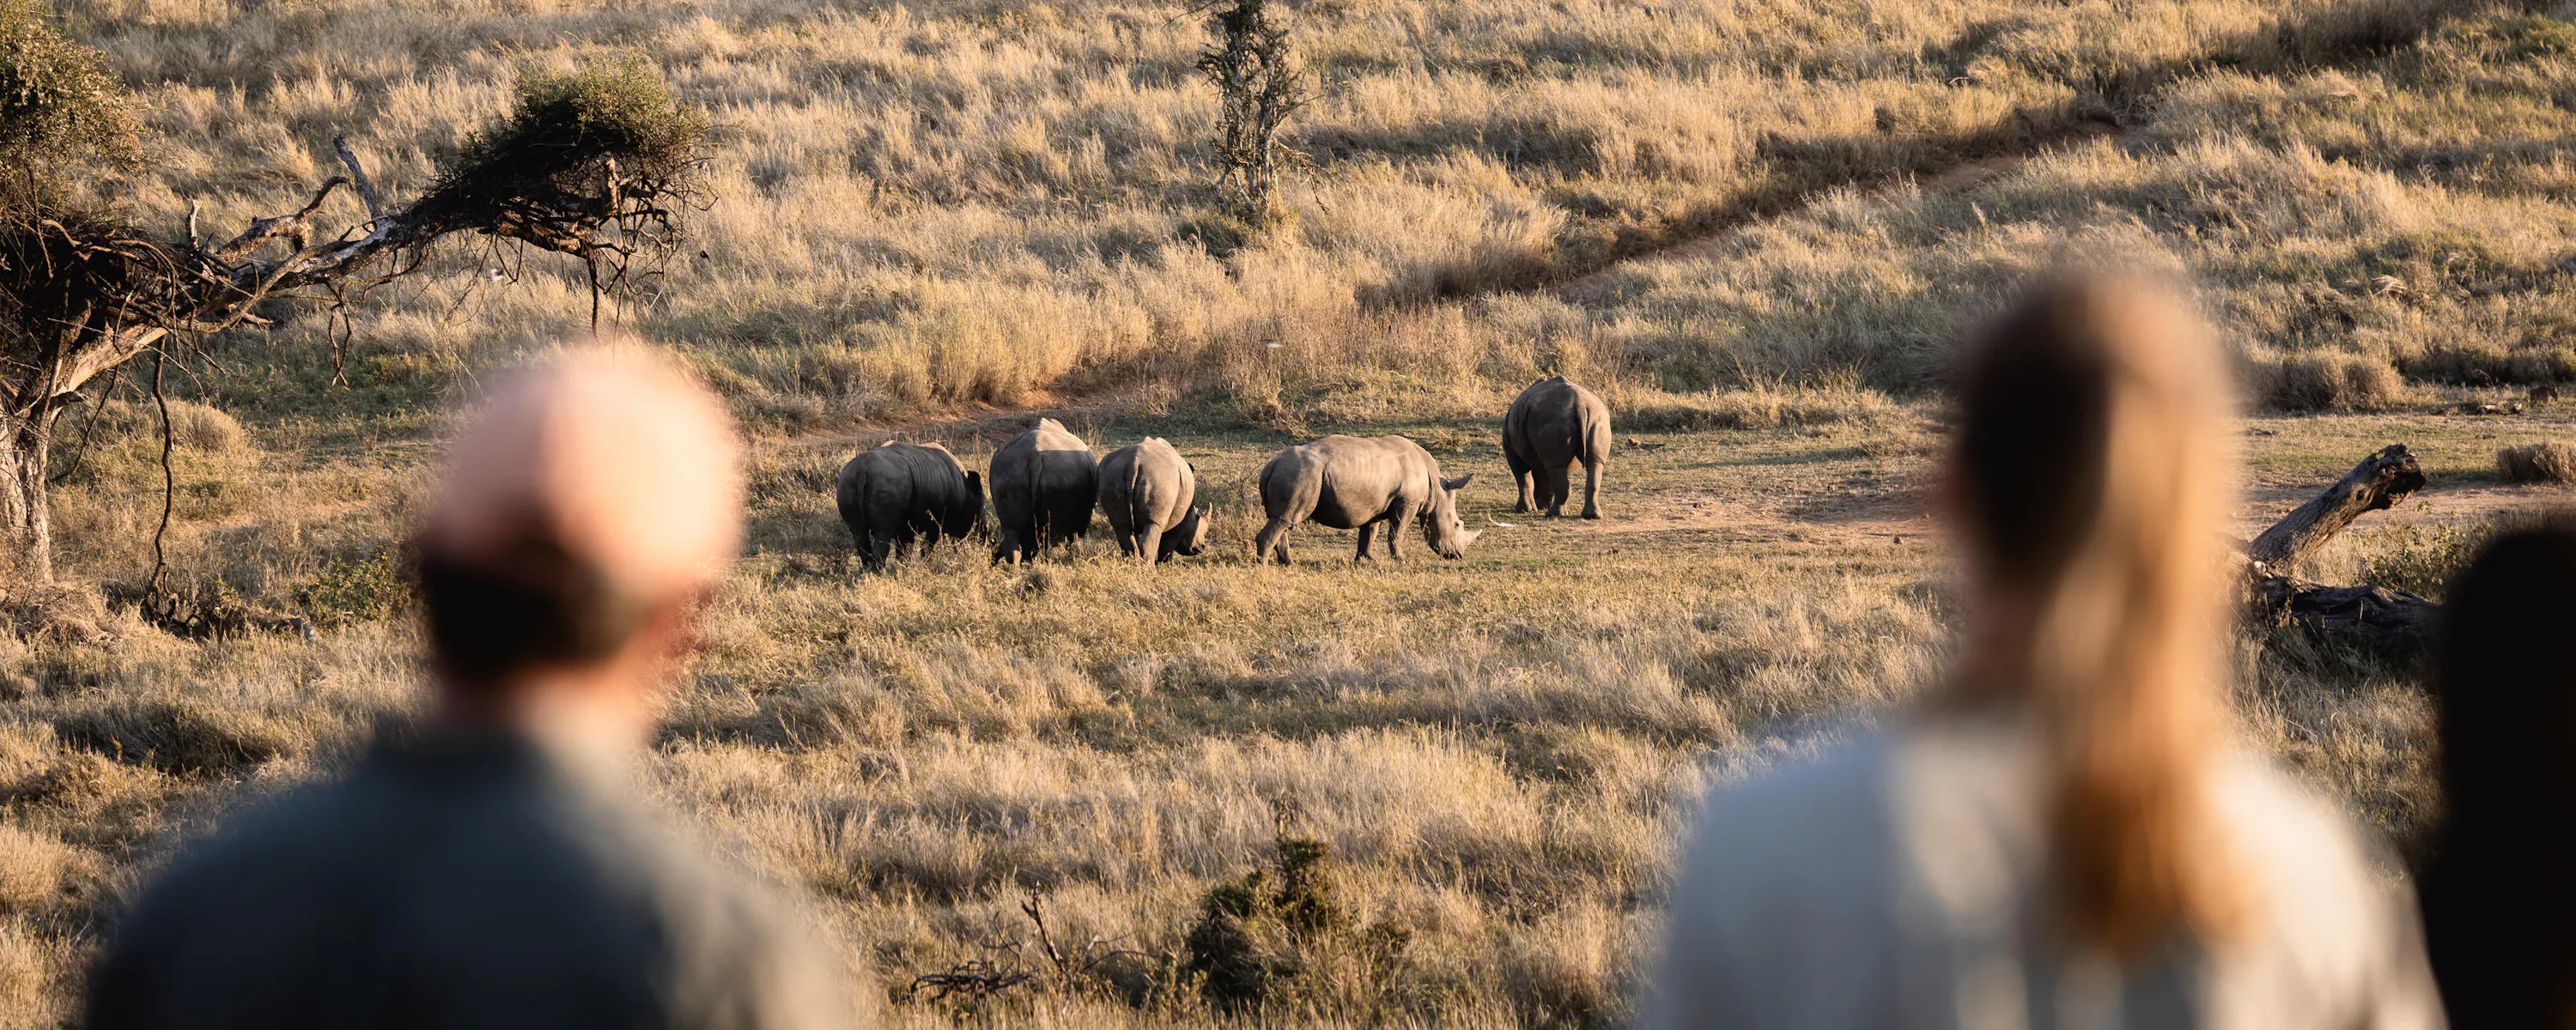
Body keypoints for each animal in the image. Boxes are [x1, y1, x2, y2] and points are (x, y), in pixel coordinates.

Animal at [836, 441, 985, 571]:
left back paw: (868, 574)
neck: (966, 490)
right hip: (885, 483)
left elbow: (904, 549)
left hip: (846, 482)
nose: (983, 538)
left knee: (859, 535)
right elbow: (928, 546)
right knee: (883, 534)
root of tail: (861, 471)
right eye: (977, 516)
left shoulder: (906, 525)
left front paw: (902, 569)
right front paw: (923, 566)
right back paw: (879, 576)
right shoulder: (938, 522)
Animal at [990, 418, 1099, 564]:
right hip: (1059, 474)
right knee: (1054, 533)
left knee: (1013, 528)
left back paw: (1021, 564)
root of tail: (1034, 457)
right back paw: (1050, 560)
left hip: (1007, 473)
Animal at [1098, 437, 1210, 565]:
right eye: (1198, 518)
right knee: (1152, 524)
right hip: (1160, 479)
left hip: (1112, 474)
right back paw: (1149, 568)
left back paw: (1131, 564)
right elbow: (1169, 542)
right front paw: (1166, 564)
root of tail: (1133, 462)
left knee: (1121, 525)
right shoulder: (1182, 518)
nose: (1201, 548)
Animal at [1252, 435, 1479, 564]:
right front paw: (1401, 561)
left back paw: (1288, 564)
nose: (1457, 556)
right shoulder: (1407, 502)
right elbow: (1397, 531)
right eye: (1457, 525)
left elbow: (1370, 531)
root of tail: (1270, 466)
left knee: (1281, 519)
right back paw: (1263, 566)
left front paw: (1366, 560)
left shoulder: (1376, 503)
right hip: (1300, 474)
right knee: (1285, 519)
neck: (1436, 490)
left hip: (1294, 473)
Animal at [1503, 375, 1612, 519]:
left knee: (1555, 467)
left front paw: (1525, 510)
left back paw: (1552, 514)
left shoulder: (1511, 450)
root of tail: (1580, 406)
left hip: (1554, 420)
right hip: (1598, 418)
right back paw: (1591, 516)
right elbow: (1545, 478)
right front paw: (1541, 506)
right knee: (1594, 463)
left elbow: (1523, 478)